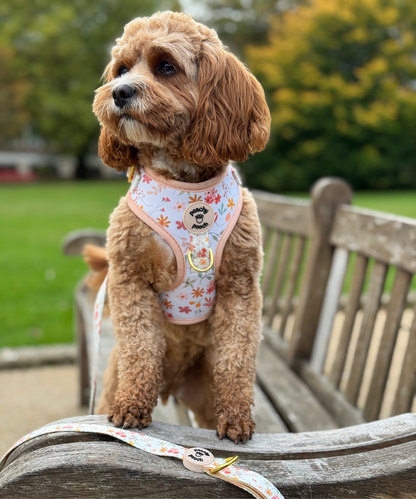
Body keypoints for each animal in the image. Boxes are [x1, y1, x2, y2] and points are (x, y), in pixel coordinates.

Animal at [92, 9, 272, 444]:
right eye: (122, 69)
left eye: (166, 66)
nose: (119, 92)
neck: (186, 187)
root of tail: (172, 383)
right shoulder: (129, 279)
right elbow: (140, 346)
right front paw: (132, 406)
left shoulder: (241, 286)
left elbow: (237, 357)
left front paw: (237, 416)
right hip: (110, 379)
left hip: (202, 395)